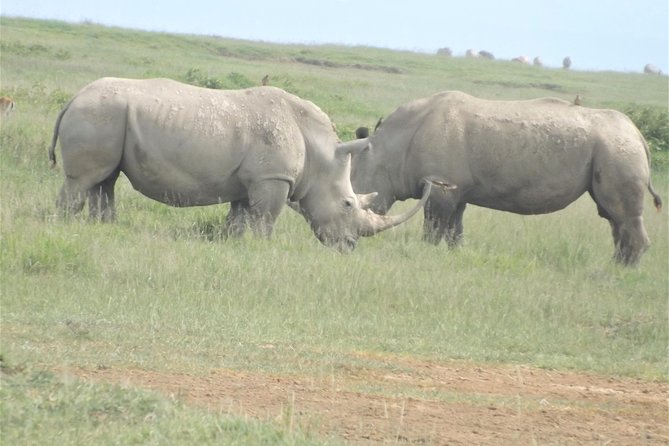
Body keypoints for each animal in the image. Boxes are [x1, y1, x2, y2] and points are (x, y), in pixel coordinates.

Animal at [48, 77, 431, 251]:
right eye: (349, 204)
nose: (349, 246)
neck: (321, 153)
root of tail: (74, 97)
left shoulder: (252, 181)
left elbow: (239, 218)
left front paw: (234, 245)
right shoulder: (273, 178)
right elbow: (265, 219)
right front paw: (264, 247)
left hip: (108, 117)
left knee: (105, 180)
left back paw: (104, 227)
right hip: (99, 114)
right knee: (84, 180)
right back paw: (67, 227)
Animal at [351, 91, 662, 265]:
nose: (352, 238)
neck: (389, 149)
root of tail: (639, 135)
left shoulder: (441, 185)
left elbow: (434, 228)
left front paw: (425, 253)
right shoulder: (456, 188)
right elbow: (454, 229)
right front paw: (455, 255)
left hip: (617, 149)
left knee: (620, 215)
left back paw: (619, 272)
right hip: (615, 148)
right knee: (613, 217)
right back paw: (616, 266)